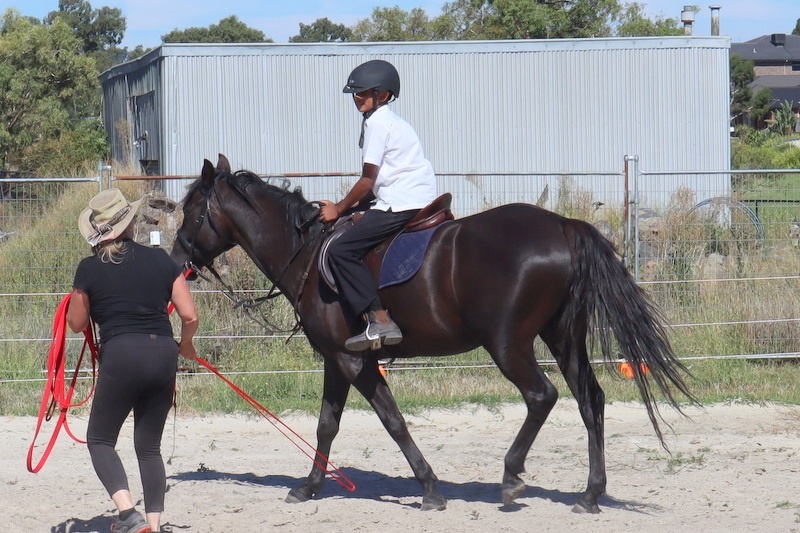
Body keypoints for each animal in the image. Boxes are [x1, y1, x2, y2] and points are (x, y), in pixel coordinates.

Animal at [170, 156, 692, 512]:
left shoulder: (350, 359)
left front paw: (427, 488)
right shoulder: (340, 360)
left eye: (191, 210)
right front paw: (314, 486)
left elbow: (385, 421)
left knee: (542, 396)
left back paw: (511, 476)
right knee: (591, 399)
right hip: (562, 337)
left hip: (508, 344)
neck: (308, 253)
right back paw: (589, 494)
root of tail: (563, 225)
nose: (176, 261)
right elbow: (331, 424)